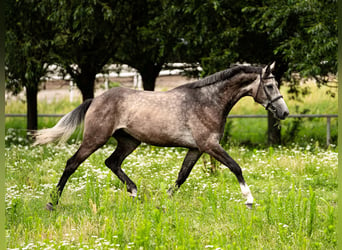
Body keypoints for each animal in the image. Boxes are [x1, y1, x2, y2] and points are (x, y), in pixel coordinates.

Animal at [34, 61, 288, 210]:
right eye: (270, 86)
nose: (284, 112)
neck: (208, 101)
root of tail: (95, 99)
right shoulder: (209, 145)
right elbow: (236, 167)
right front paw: (250, 200)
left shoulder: (196, 149)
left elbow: (182, 175)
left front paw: (163, 203)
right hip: (95, 139)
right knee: (72, 163)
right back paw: (52, 202)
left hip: (129, 141)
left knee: (112, 162)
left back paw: (135, 193)